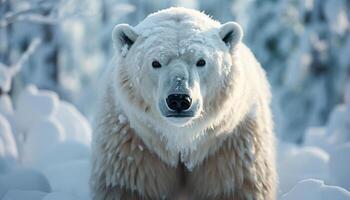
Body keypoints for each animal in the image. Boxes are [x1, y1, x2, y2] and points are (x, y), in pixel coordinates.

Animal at [90, 6, 276, 200]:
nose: (179, 99)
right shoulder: (132, 149)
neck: (181, 141)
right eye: (155, 63)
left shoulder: (231, 148)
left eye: (201, 61)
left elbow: (235, 188)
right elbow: (129, 187)